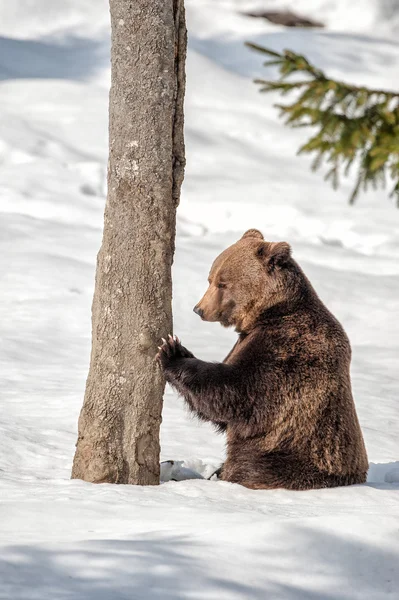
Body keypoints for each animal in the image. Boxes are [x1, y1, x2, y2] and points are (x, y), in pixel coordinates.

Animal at [158, 229, 370, 488]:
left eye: (222, 283)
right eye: (210, 278)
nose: (199, 309)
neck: (269, 313)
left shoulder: (285, 350)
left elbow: (236, 393)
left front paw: (171, 352)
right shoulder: (245, 341)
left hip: (281, 458)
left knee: (250, 467)